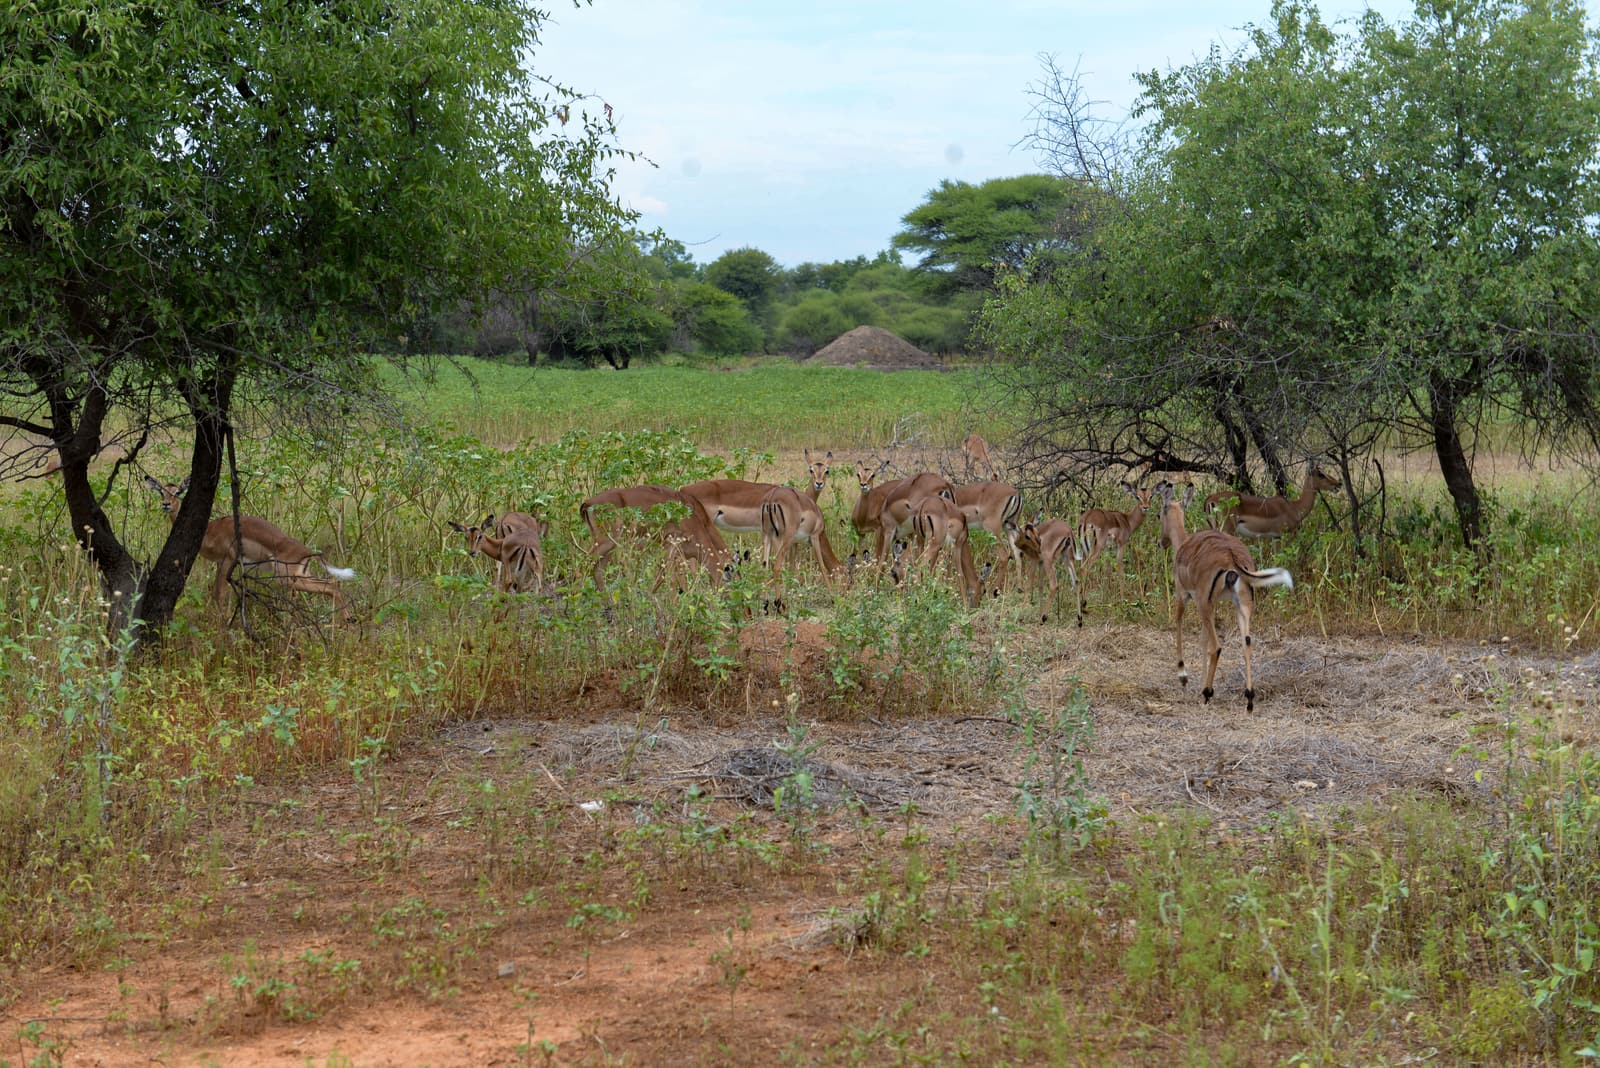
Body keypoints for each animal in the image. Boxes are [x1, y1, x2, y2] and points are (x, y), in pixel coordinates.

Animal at [145, 476, 356, 623]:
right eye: (161, 492)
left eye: (178, 491)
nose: (166, 504)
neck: (210, 530)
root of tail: (308, 552)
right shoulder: (224, 563)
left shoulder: (228, 560)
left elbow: (219, 593)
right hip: (299, 577)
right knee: (332, 583)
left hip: (287, 579)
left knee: (331, 585)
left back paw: (347, 620)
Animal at [579, 485, 731, 590]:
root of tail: (587, 503)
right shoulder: (671, 548)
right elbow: (672, 580)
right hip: (606, 541)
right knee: (583, 565)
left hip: (610, 545)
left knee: (598, 571)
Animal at [1159, 481, 1293, 712]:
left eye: (1159, 514)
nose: (1161, 542)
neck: (1184, 544)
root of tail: (1232, 558)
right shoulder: (1210, 605)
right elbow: (1203, 640)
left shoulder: (1185, 596)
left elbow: (1179, 624)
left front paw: (1184, 676)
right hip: (1242, 606)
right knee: (1246, 642)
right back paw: (1249, 698)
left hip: (1205, 605)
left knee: (1217, 646)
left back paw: (1208, 693)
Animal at [1206, 465, 1342, 538]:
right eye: (1321, 474)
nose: (1338, 484)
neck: (1293, 507)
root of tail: (1210, 499)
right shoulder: (1284, 535)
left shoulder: (1275, 538)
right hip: (1227, 530)